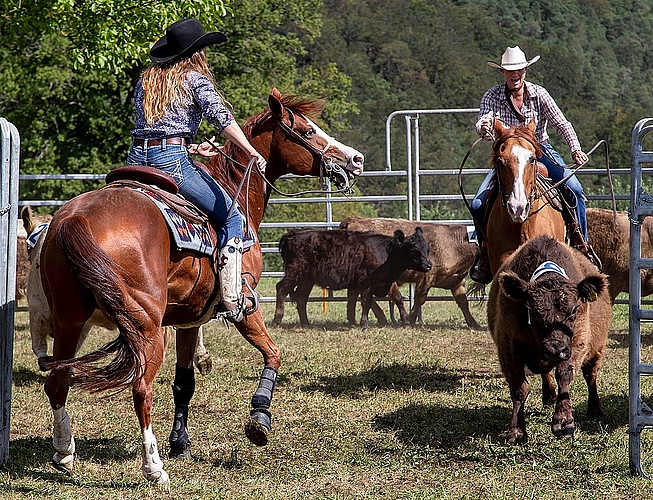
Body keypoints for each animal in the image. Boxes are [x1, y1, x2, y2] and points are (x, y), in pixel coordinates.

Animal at [39, 87, 366, 484]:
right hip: (145, 327)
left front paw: (181, 443)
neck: (232, 187)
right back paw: (154, 469)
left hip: (70, 321)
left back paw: (64, 452)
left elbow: (184, 383)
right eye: (306, 131)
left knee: (58, 381)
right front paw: (259, 419)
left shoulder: (188, 318)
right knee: (140, 389)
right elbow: (273, 353)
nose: (355, 159)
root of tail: (75, 219)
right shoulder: (243, 304)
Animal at [272, 227, 430, 328]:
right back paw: (277, 319)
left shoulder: (387, 281)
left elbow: (398, 298)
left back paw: (305, 323)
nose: (429, 265)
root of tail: (293, 234)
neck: (386, 253)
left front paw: (406, 321)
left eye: (427, 249)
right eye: (414, 249)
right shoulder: (365, 282)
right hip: (295, 273)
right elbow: (366, 301)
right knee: (281, 288)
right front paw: (364, 324)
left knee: (301, 297)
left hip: (307, 279)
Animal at [336, 215, 478, 328]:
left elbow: (463, 302)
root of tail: (353, 220)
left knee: (354, 293)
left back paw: (355, 319)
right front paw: (411, 319)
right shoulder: (426, 278)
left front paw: (473, 323)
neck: (454, 244)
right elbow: (420, 299)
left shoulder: (457, 281)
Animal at [488, 235, 612, 446]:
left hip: (597, 349)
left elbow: (564, 375)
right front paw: (516, 430)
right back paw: (548, 395)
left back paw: (595, 408)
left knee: (590, 376)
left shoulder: (577, 343)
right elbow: (519, 388)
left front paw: (563, 421)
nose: (555, 350)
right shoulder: (508, 347)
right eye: (533, 310)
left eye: (574, 309)